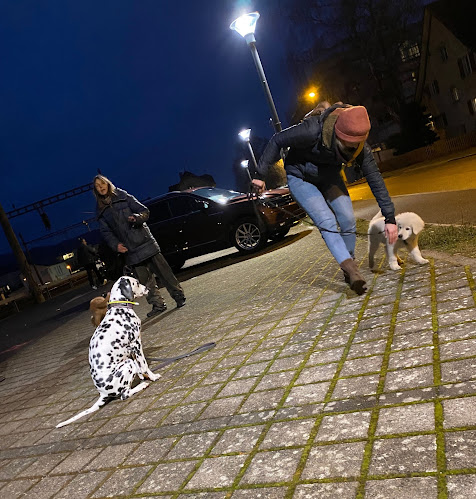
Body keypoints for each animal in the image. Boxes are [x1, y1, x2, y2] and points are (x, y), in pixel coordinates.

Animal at [56, 276, 161, 428]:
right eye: (136, 282)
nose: (147, 288)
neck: (121, 309)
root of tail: (102, 393)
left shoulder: (131, 350)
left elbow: (140, 367)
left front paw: (143, 376)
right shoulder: (136, 344)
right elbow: (144, 365)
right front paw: (152, 377)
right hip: (127, 364)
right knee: (124, 395)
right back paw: (141, 386)